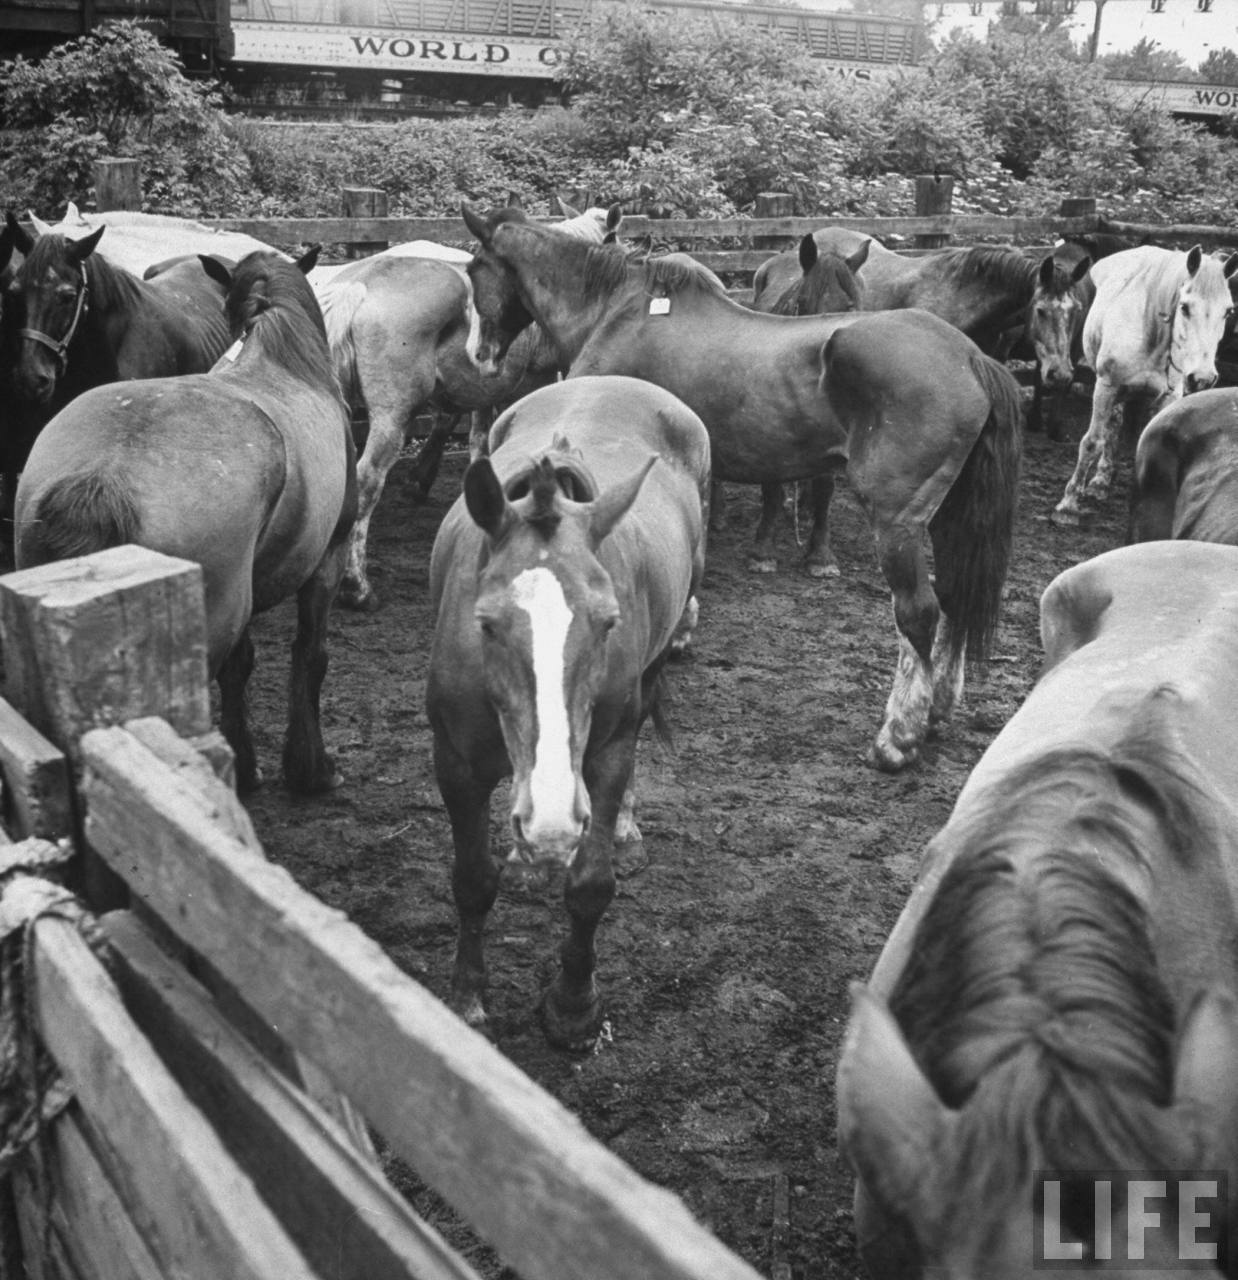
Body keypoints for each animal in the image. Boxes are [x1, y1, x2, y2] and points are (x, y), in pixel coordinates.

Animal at [14, 250, 357, 795]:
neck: (284, 361)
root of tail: (105, 473)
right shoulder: (330, 555)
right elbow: (310, 656)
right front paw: (311, 768)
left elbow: (242, 667)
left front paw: (249, 765)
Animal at [313, 201, 623, 611]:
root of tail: (359, 286)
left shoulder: (482, 388)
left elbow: (476, 437)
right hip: (391, 417)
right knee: (367, 481)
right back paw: (358, 586)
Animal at [424, 375, 709, 1049]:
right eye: (486, 623)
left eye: (607, 622)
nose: (551, 824)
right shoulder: (455, 764)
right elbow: (471, 881)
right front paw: (468, 998)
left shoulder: (602, 756)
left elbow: (590, 885)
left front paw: (574, 1006)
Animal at [461, 202, 1022, 772]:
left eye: (474, 269)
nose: (479, 354)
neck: (615, 310)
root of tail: (970, 357)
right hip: (949, 515)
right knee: (953, 596)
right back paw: (937, 708)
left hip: (898, 522)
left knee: (919, 613)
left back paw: (898, 735)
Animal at [1053, 244, 1238, 525]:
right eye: (1184, 307)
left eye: (1228, 311)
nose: (1202, 378)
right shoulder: (1106, 386)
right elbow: (1092, 442)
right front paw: (1068, 504)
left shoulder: (1168, 398)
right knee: (1112, 426)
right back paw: (1098, 481)